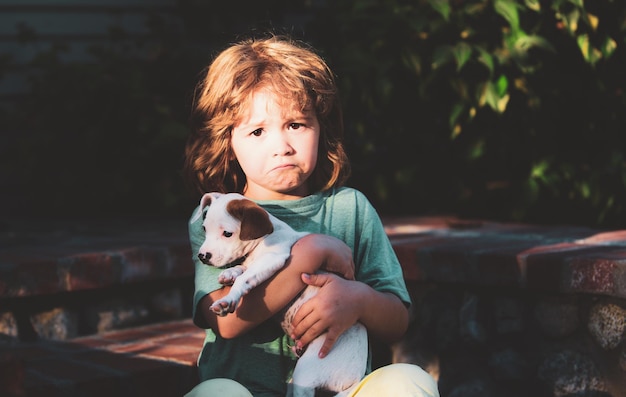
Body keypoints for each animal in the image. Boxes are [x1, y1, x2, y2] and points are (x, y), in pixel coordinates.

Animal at [195, 191, 368, 392]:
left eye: (227, 234)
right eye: (204, 229)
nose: (202, 256)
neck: (265, 238)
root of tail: (355, 379)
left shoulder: (273, 258)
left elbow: (243, 279)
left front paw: (228, 300)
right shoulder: (254, 262)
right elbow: (242, 269)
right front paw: (229, 273)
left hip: (308, 372)